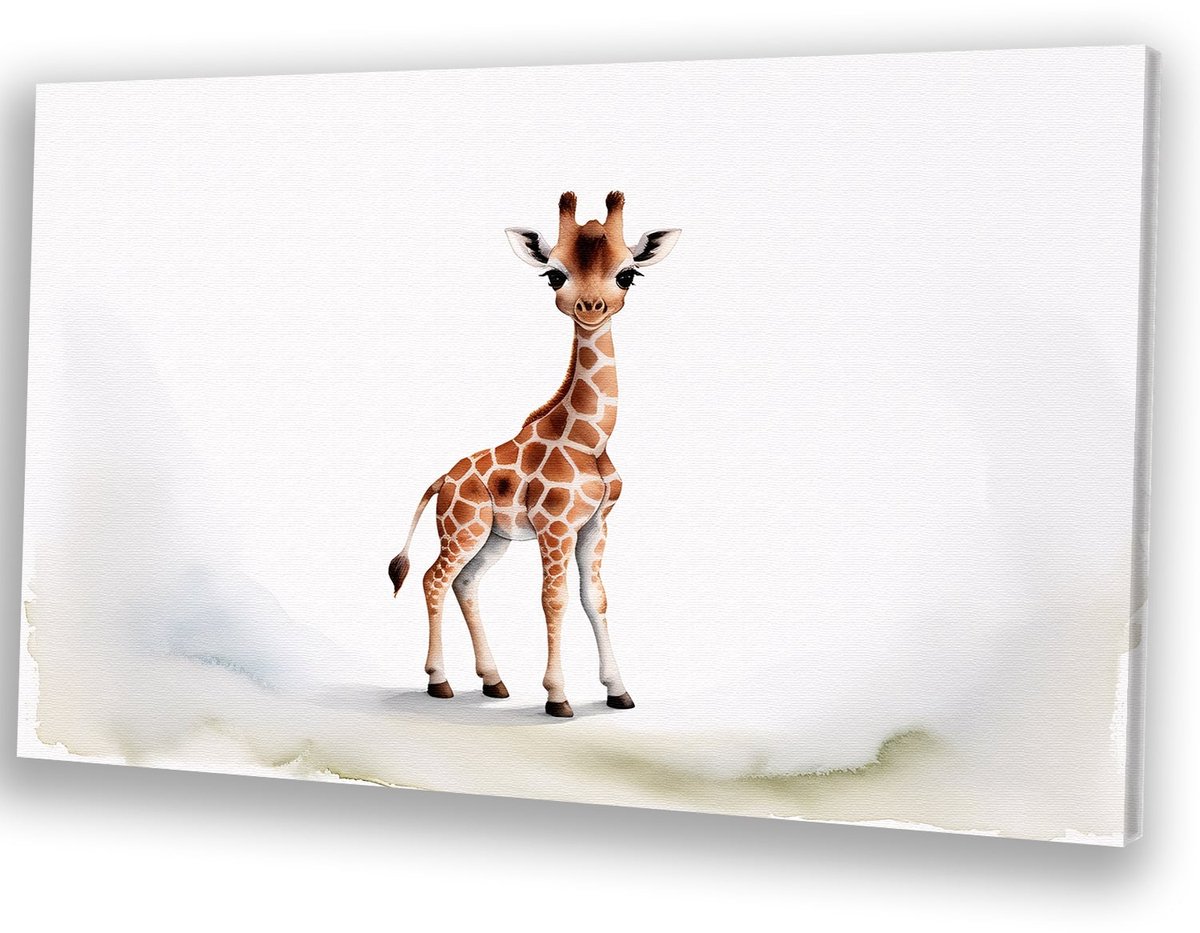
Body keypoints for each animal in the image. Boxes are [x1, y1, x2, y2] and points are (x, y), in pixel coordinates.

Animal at [389, 191, 680, 717]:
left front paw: (618, 691)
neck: (591, 439)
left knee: (465, 583)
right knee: (433, 578)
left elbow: (595, 597)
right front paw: (558, 697)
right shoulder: (556, 526)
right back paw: (439, 681)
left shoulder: (595, 525)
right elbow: (554, 599)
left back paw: (493, 682)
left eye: (628, 273)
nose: (591, 306)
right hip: (463, 529)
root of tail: (441, 480)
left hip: (493, 538)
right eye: (554, 274)